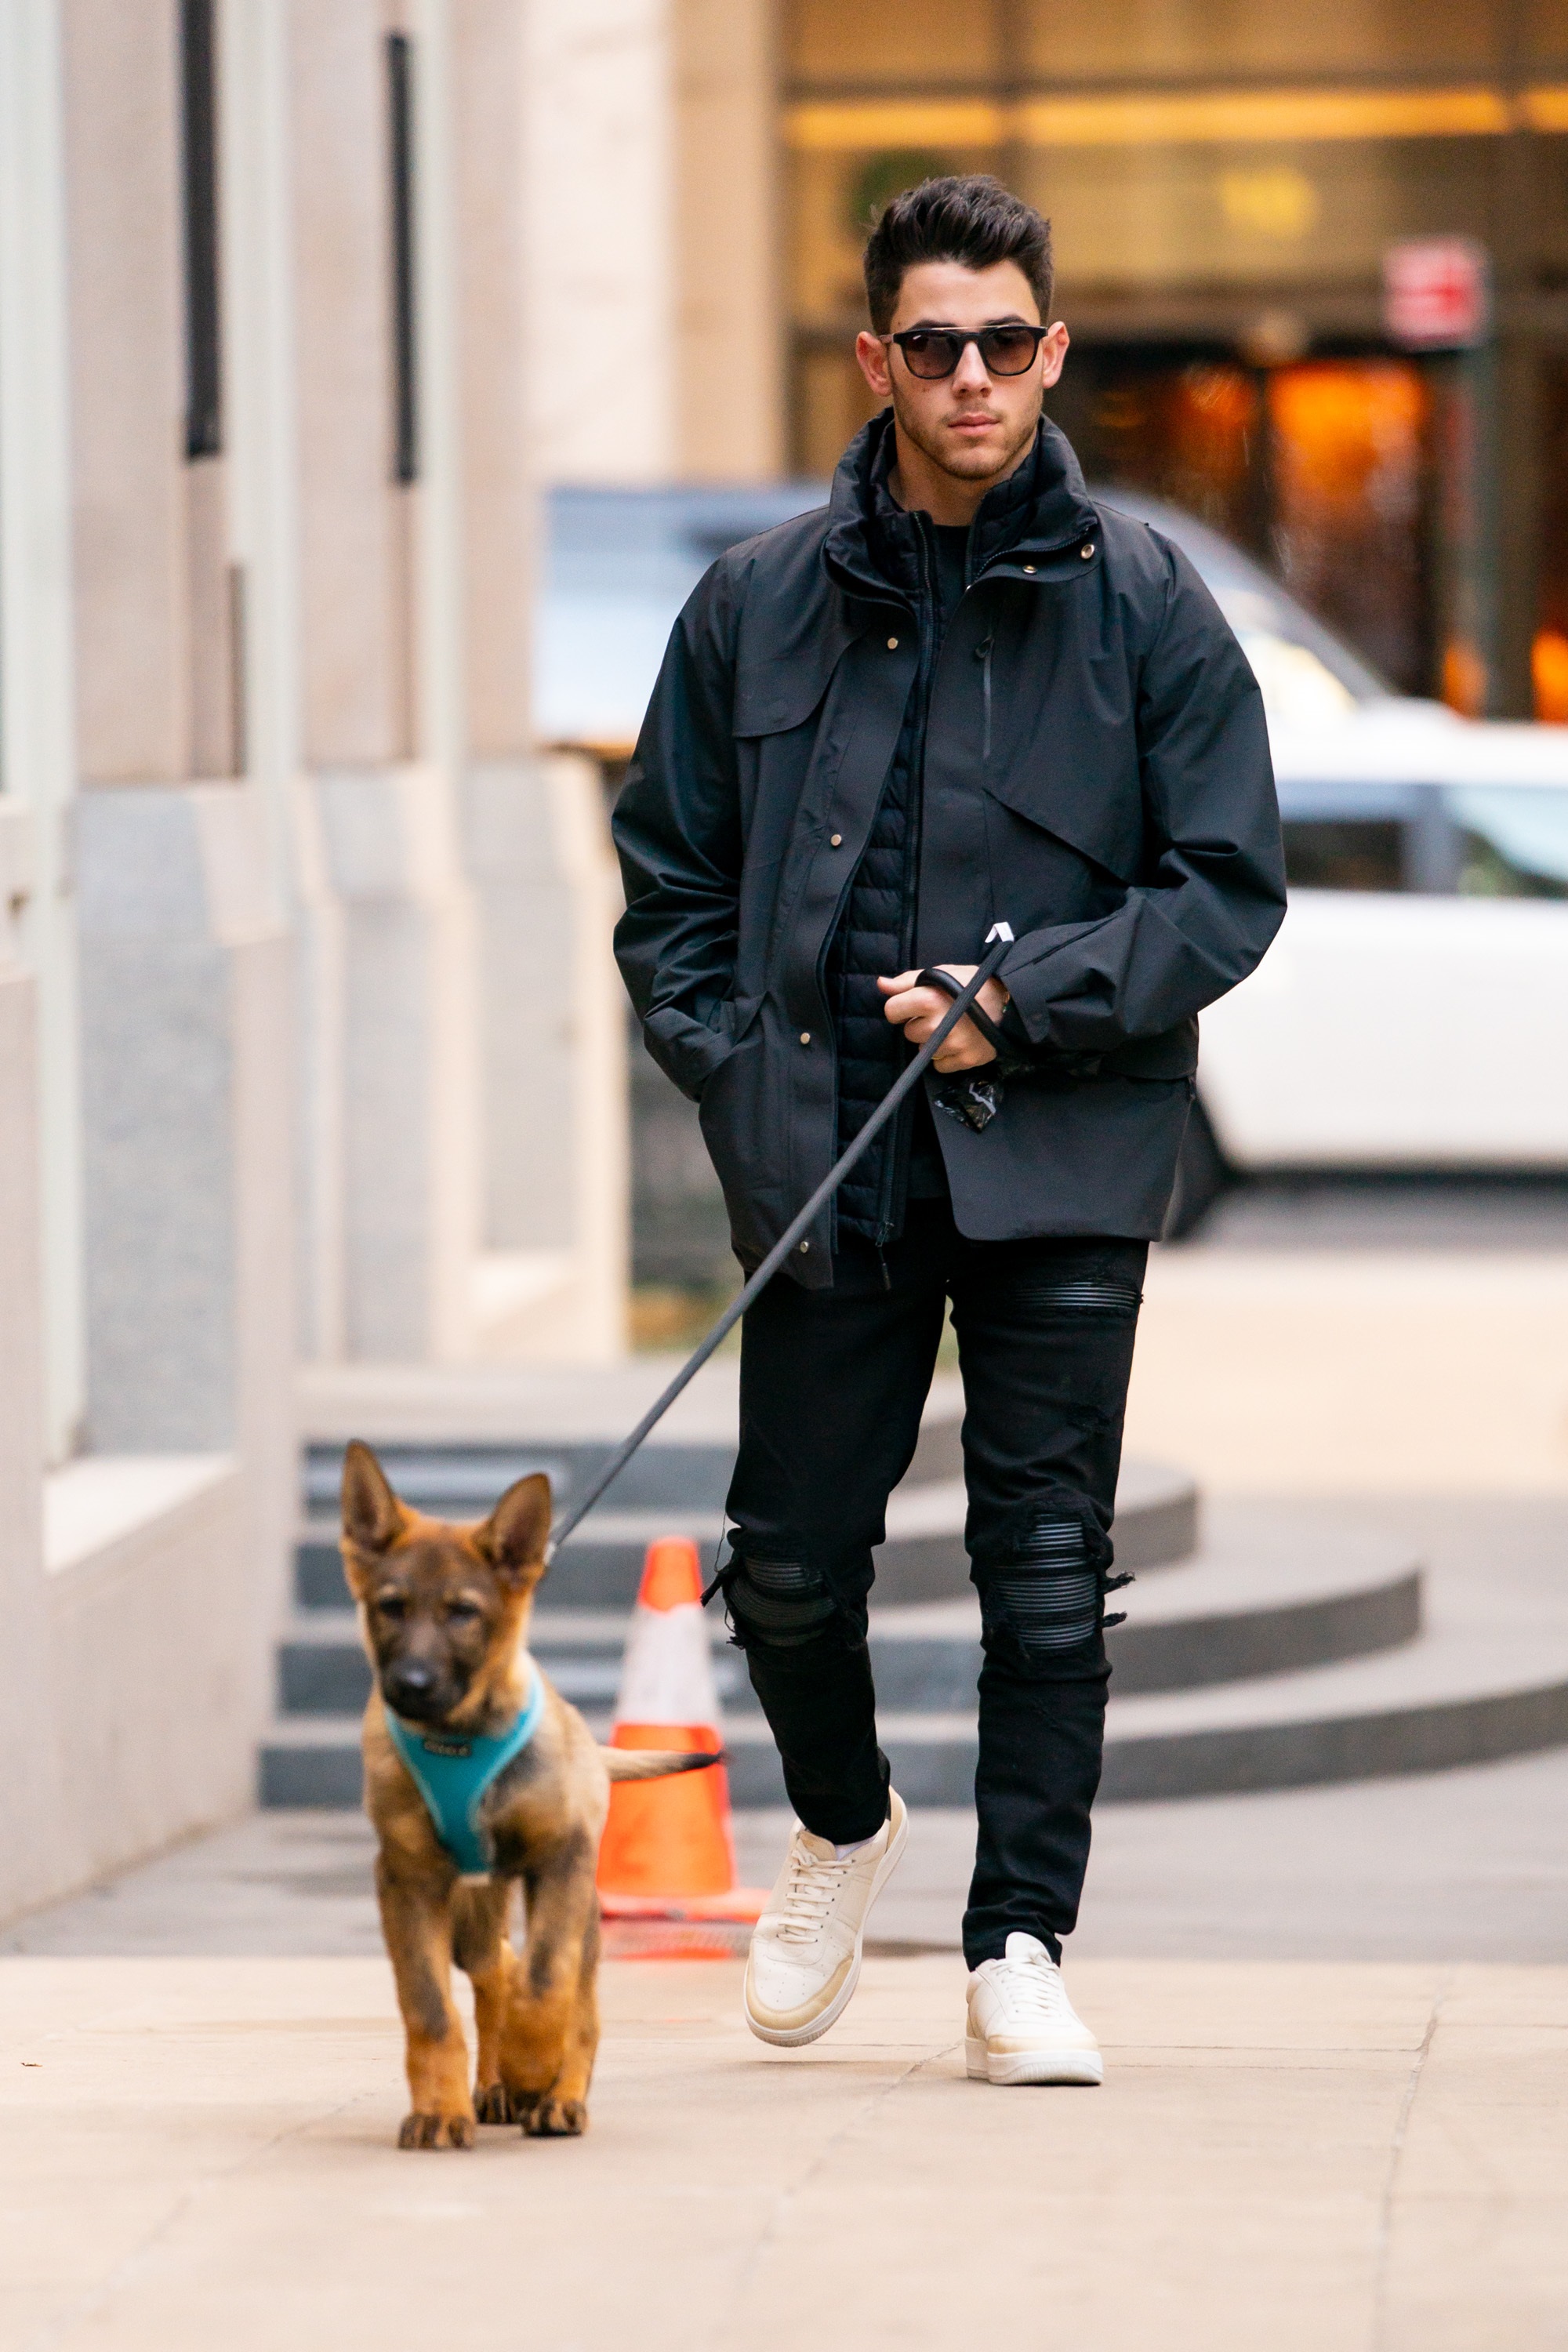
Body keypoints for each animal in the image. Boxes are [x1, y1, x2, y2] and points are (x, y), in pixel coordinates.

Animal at [343, 1430, 719, 2154]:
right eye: (391, 1607)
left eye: (464, 1613)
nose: (410, 1684)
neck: (459, 1738)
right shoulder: (406, 1880)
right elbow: (430, 2009)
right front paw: (441, 2110)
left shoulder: (560, 1860)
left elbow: (548, 1984)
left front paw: (533, 2070)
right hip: (471, 1910)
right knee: (496, 1970)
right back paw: (489, 2087)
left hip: (573, 1904)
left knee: (572, 1993)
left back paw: (556, 2096)